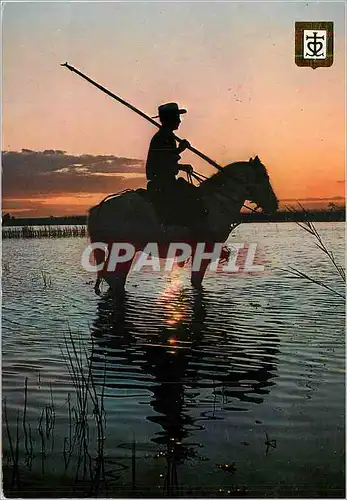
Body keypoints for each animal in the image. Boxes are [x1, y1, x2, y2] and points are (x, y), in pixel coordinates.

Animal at [87, 154, 280, 292]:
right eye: (265, 177)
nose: (275, 204)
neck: (218, 202)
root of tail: (98, 208)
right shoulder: (204, 251)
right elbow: (197, 281)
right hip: (123, 250)